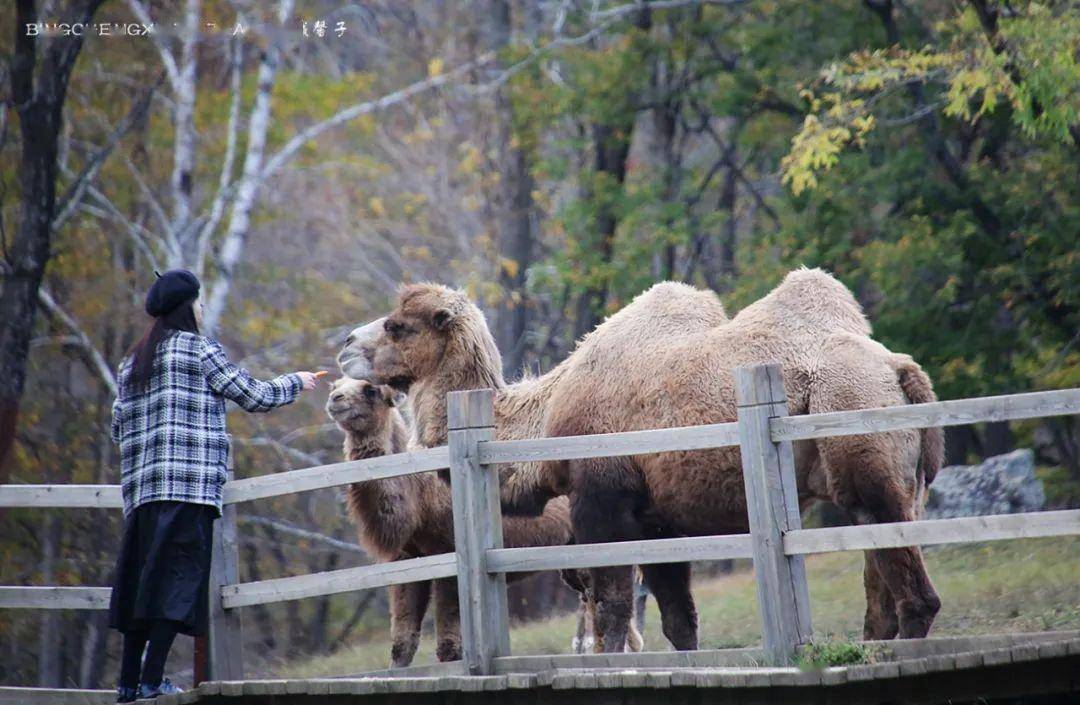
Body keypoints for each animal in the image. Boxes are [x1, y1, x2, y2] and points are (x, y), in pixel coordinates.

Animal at [324, 375, 574, 660]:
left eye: (371, 390)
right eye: (335, 386)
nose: (335, 400)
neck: (419, 498)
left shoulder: (450, 558)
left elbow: (448, 647)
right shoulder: (405, 559)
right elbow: (402, 645)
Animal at [498, 266, 946, 652]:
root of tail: (900, 370)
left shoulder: (602, 498)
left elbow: (612, 611)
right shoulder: (656, 519)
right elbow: (678, 621)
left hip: (857, 425)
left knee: (915, 594)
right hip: (901, 483)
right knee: (881, 588)